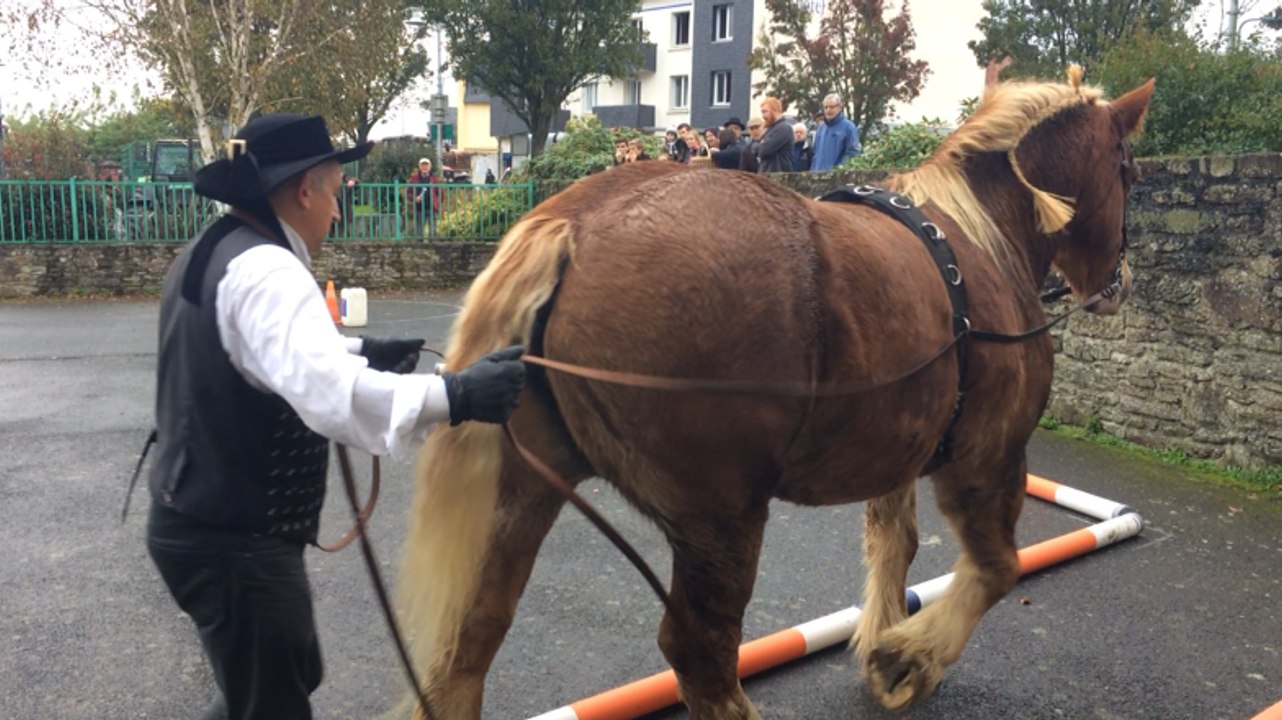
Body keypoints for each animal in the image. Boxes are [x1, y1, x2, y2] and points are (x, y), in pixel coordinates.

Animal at [397, 69, 1155, 719]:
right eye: (1129, 170)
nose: (1119, 281)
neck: (979, 242)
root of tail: (574, 225)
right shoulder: (987, 458)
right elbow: (997, 569)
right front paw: (907, 660)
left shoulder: (903, 453)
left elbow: (897, 544)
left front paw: (885, 644)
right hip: (722, 517)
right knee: (700, 652)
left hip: (525, 487)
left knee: (468, 644)